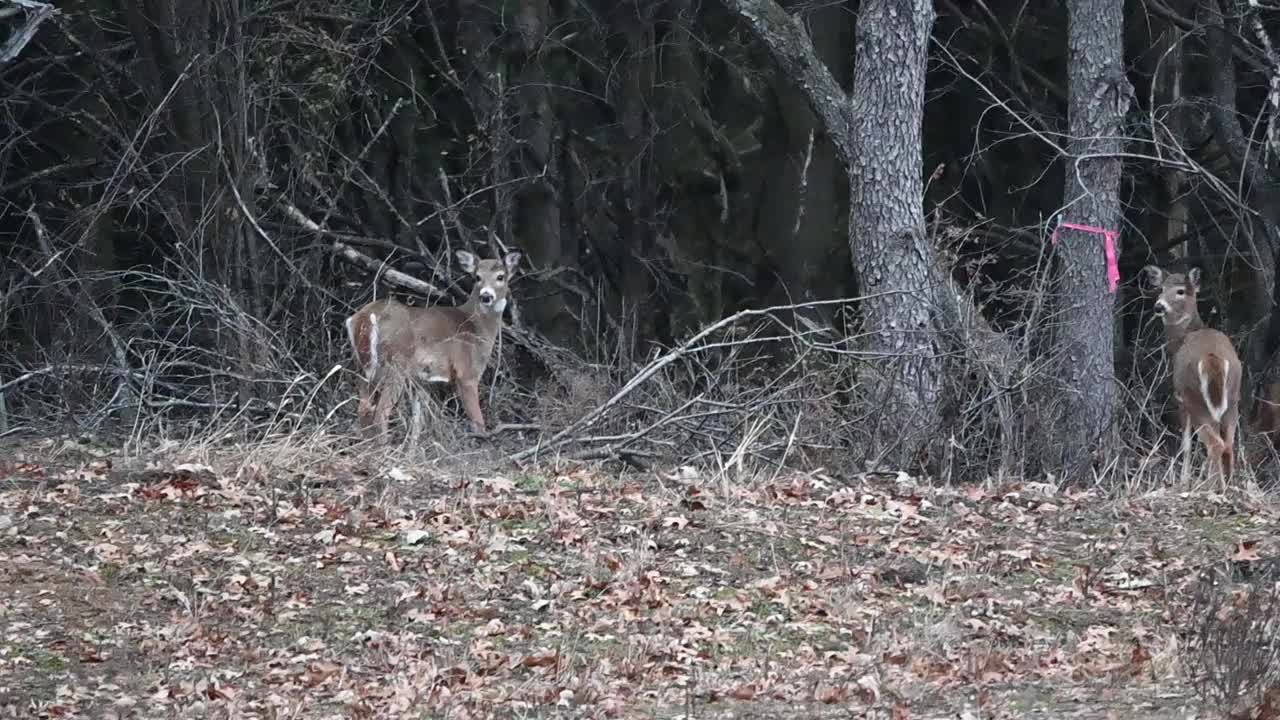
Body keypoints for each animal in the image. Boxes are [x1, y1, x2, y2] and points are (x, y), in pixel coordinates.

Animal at [343, 245, 522, 438]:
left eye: (500, 276)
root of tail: (364, 318)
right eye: (477, 277)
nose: (486, 296)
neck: (476, 328)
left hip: (361, 364)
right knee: (380, 414)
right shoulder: (467, 372)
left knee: (363, 409)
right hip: (395, 363)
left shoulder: (424, 382)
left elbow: (418, 424)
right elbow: (478, 424)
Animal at [1141, 265, 1239, 486]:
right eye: (1161, 288)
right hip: (1233, 397)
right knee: (1228, 444)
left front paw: (1184, 480)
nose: (1159, 306)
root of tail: (1212, 359)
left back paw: (1215, 487)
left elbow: (1185, 444)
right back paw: (1230, 486)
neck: (1182, 339)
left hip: (1193, 397)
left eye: (1180, 291)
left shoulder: (1180, 399)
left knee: (1215, 444)